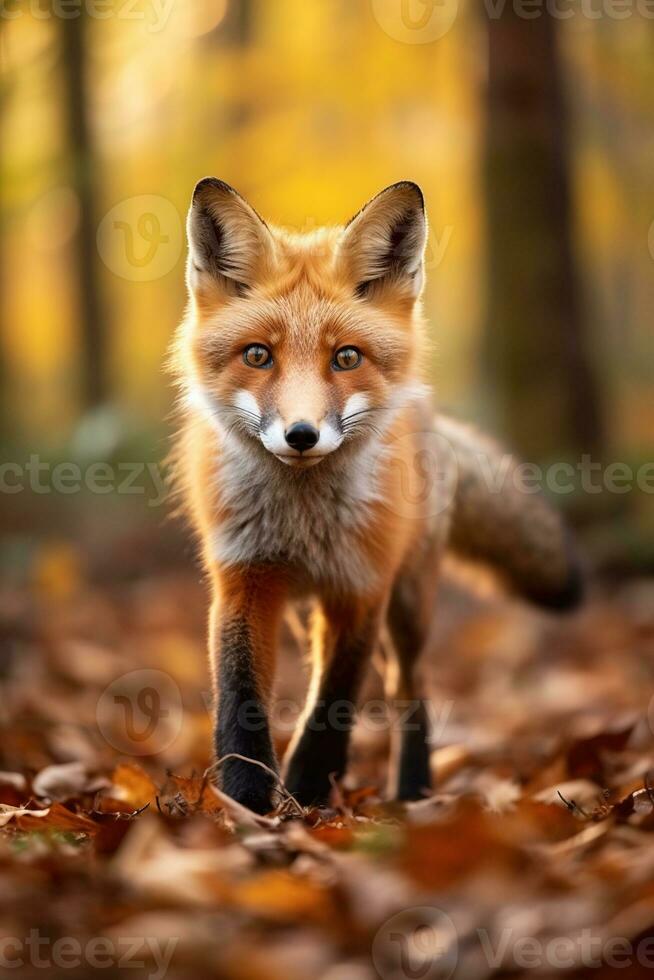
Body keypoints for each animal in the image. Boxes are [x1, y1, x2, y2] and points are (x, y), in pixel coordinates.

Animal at [170, 176, 584, 812]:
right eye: (258, 355)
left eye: (346, 358)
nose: (301, 434)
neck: (304, 519)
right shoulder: (243, 580)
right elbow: (240, 701)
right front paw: (249, 800)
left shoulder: (361, 585)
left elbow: (333, 703)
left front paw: (308, 794)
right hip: (312, 609)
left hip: (409, 603)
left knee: (408, 685)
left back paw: (413, 788)